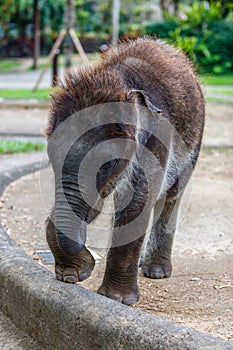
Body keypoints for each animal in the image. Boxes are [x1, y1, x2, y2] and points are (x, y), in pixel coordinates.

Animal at [45, 38, 204, 304]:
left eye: (107, 163)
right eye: (50, 155)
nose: (87, 263)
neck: (115, 79)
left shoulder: (157, 140)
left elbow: (138, 200)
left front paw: (116, 298)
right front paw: (72, 274)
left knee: (172, 195)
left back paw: (156, 271)